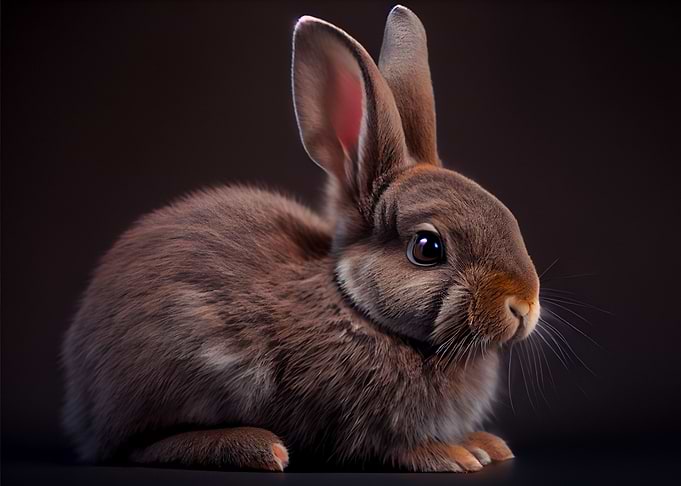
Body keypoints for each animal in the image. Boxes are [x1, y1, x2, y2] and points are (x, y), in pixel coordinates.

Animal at [61, 5, 541, 473]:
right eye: (427, 248)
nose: (524, 306)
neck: (355, 307)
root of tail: (83, 406)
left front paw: (486, 445)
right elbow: (389, 447)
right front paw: (453, 454)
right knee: (137, 447)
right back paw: (256, 447)